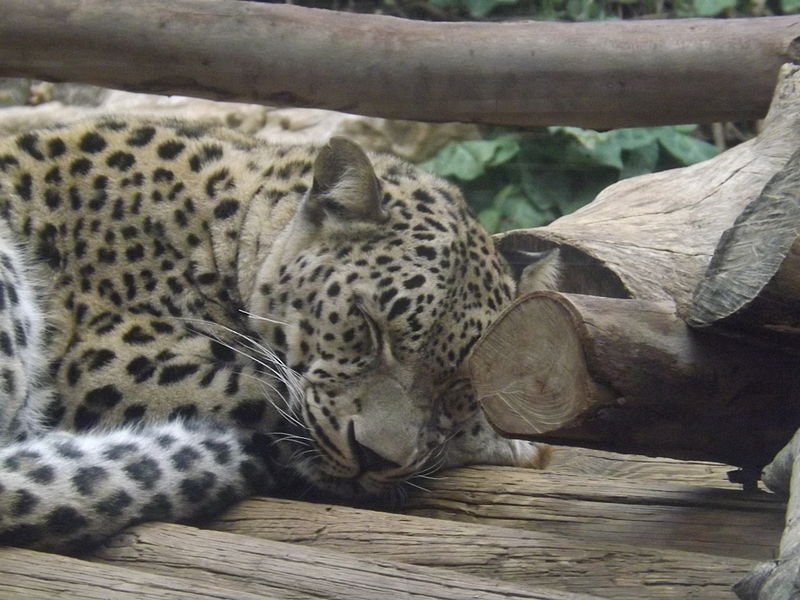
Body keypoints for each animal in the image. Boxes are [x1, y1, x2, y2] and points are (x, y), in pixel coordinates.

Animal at [0, 117, 548, 552]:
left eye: (458, 387)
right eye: (369, 327)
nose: (372, 458)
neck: (220, 226)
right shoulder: (107, 362)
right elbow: (269, 397)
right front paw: (507, 443)